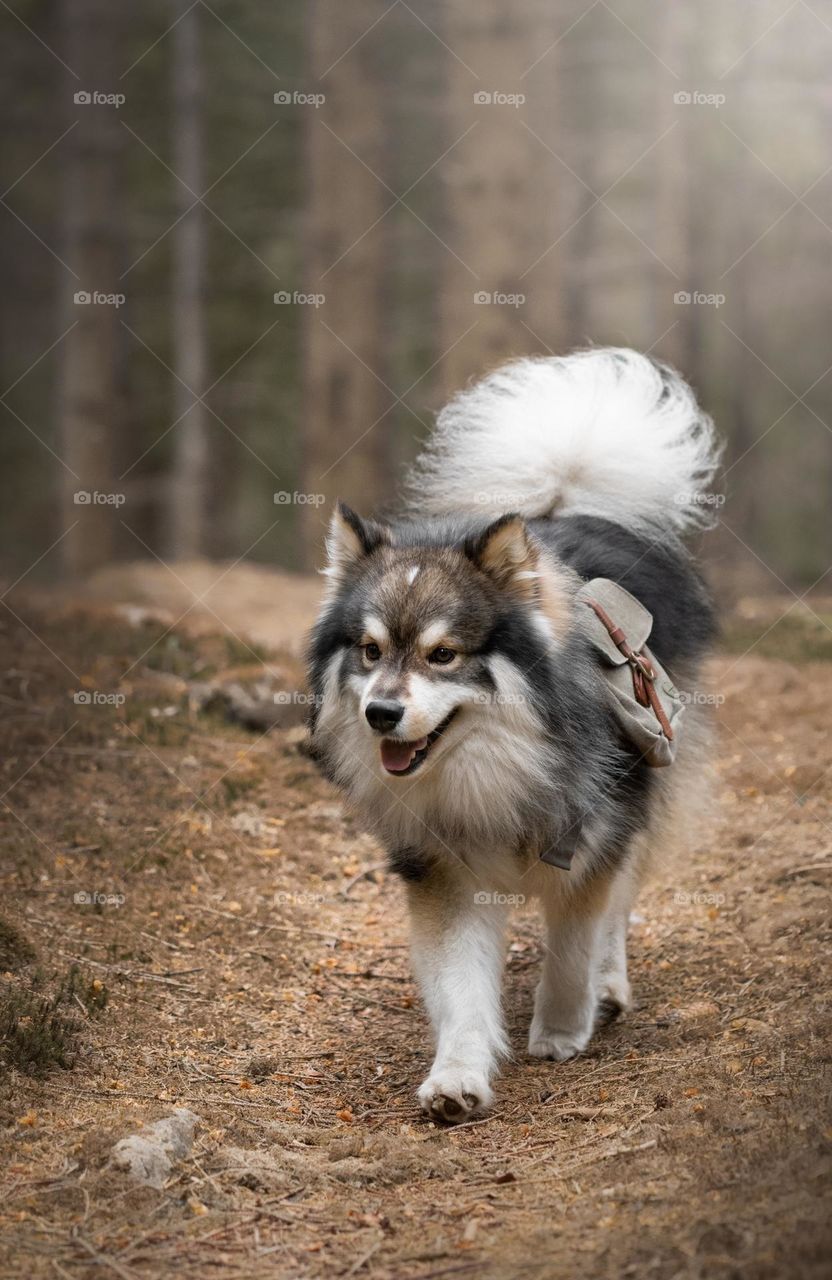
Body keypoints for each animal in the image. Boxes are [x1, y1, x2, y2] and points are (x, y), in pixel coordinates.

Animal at [307, 348, 716, 1121]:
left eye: (443, 655)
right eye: (370, 651)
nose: (380, 714)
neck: (496, 762)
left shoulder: (595, 838)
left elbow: (576, 939)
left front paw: (560, 1028)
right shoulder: (444, 873)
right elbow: (461, 987)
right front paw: (457, 1076)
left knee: (620, 907)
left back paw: (609, 986)